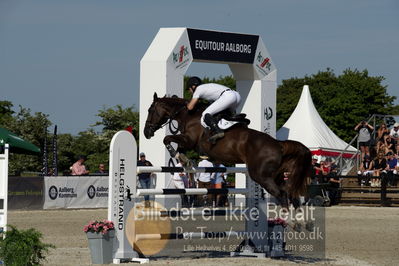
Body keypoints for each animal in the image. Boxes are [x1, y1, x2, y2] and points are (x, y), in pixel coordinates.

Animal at [143, 93, 312, 210]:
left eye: (150, 110)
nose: (146, 133)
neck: (189, 115)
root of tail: (279, 144)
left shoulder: (189, 139)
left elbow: (167, 139)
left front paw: (174, 154)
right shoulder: (187, 142)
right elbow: (180, 149)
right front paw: (185, 161)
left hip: (261, 175)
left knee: (282, 194)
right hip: (276, 175)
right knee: (290, 194)